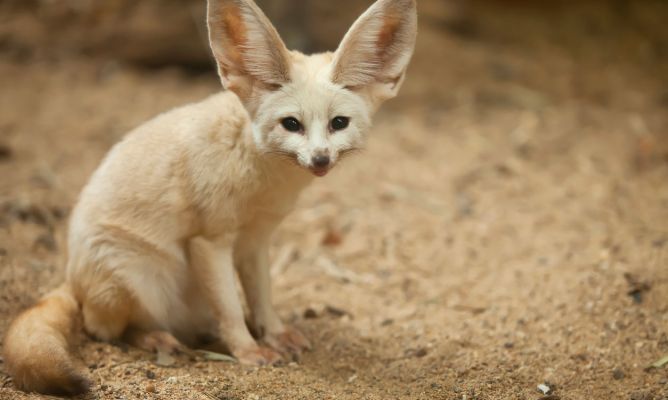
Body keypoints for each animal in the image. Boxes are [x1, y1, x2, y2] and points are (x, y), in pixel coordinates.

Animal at [2, 0, 417, 395]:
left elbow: (262, 297)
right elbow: (230, 307)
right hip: (140, 278)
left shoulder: (256, 241)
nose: (320, 159)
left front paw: (273, 334)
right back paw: (157, 338)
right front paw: (248, 351)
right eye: (291, 124)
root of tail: (71, 277)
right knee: (105, 329)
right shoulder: (210, 241)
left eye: (338, 124)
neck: (263, 181)